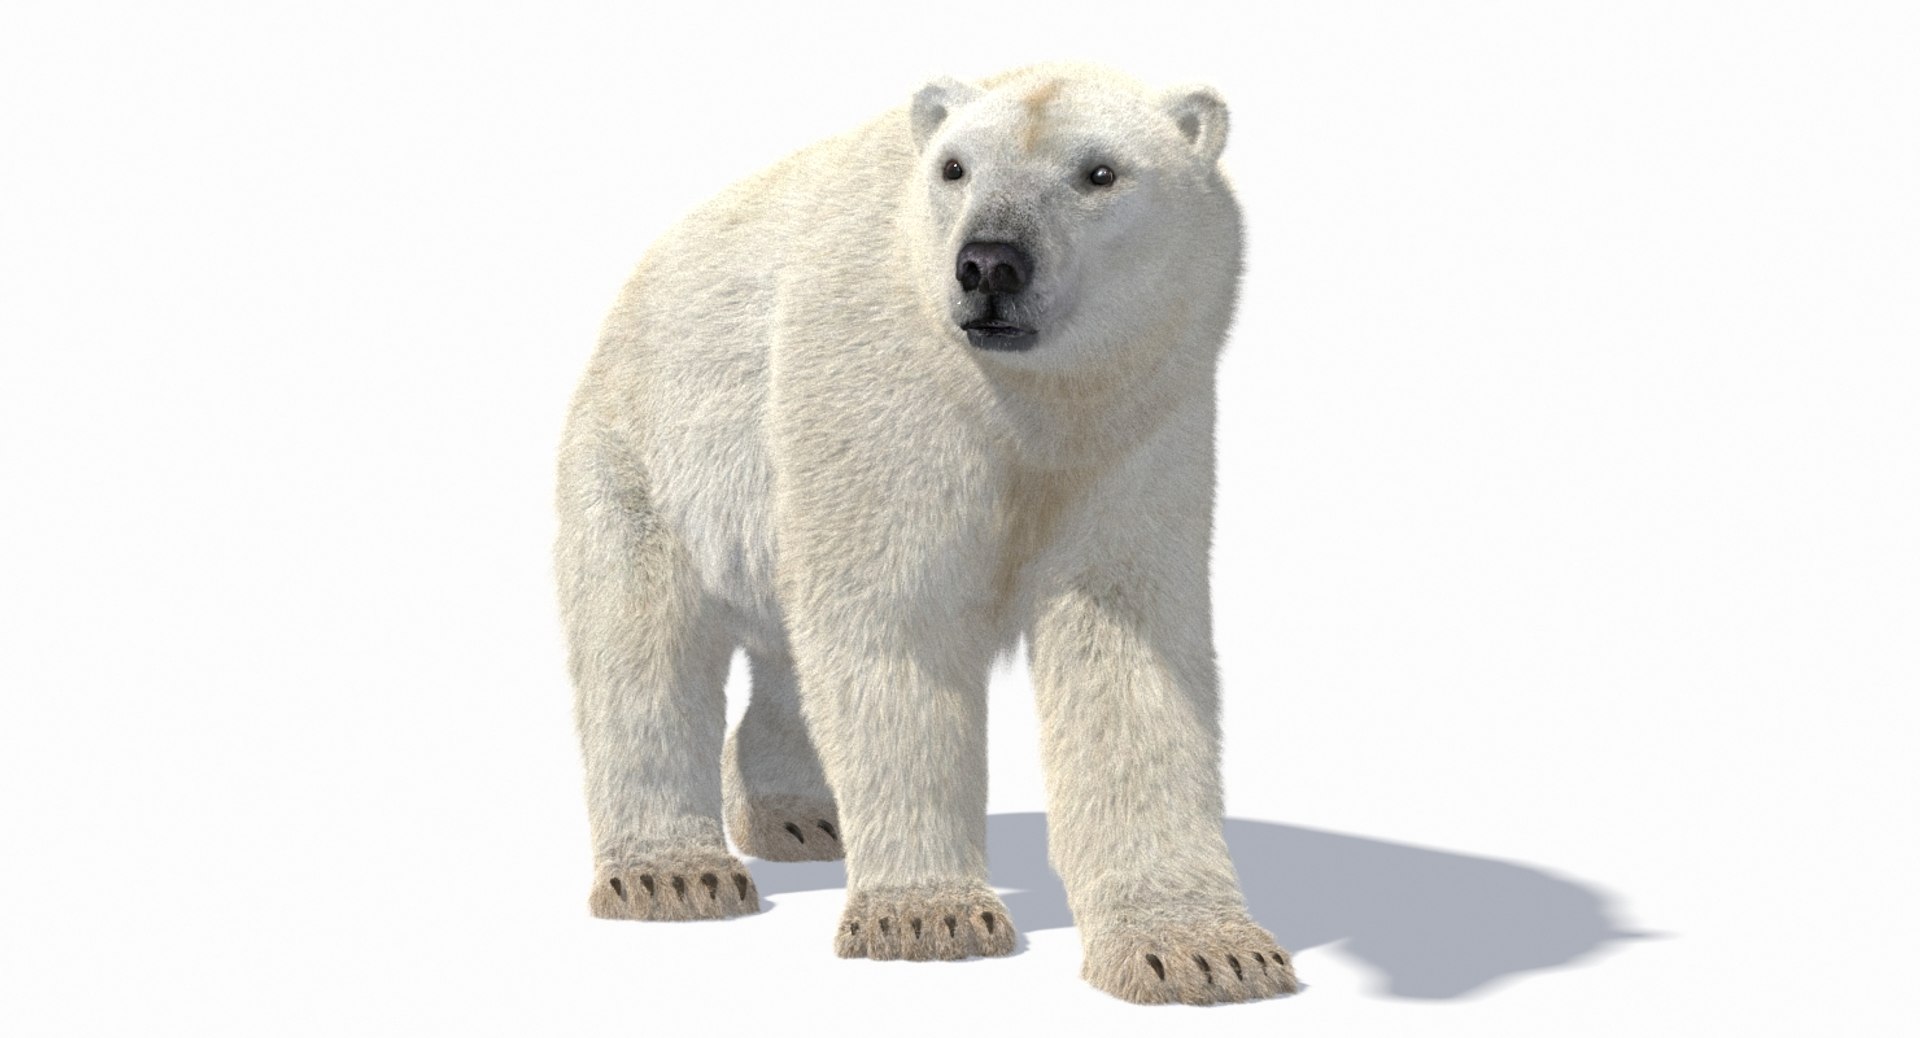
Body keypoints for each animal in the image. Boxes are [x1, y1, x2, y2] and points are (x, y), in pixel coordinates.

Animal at [554, 61, 1297, 1005]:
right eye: (954, 168)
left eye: (1100, 172)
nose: (989, 264)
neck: (1023, 399)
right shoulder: (879, 399)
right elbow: (894, 628)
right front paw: (928, 917)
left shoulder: (1136, 433)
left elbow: (1126, 657)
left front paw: (1210, 953)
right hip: (648, 458)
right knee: (644, 647)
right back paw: (674, 871)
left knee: (789, 656)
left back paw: (800, 816)